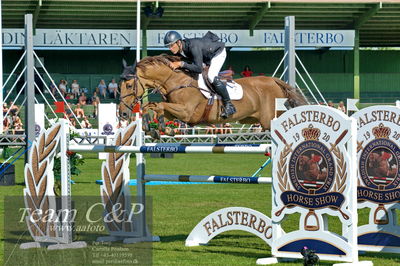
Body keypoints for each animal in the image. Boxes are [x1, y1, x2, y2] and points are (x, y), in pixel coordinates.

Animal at [117, 54, 308, 135]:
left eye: (128, 85)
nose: (123, 113)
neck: (176, 80)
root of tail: (274, 80)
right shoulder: (176, 112)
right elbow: (153, 106)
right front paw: (157, 128)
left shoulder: (187, 112)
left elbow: (158, 105)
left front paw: (160, 128)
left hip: (270, 119)